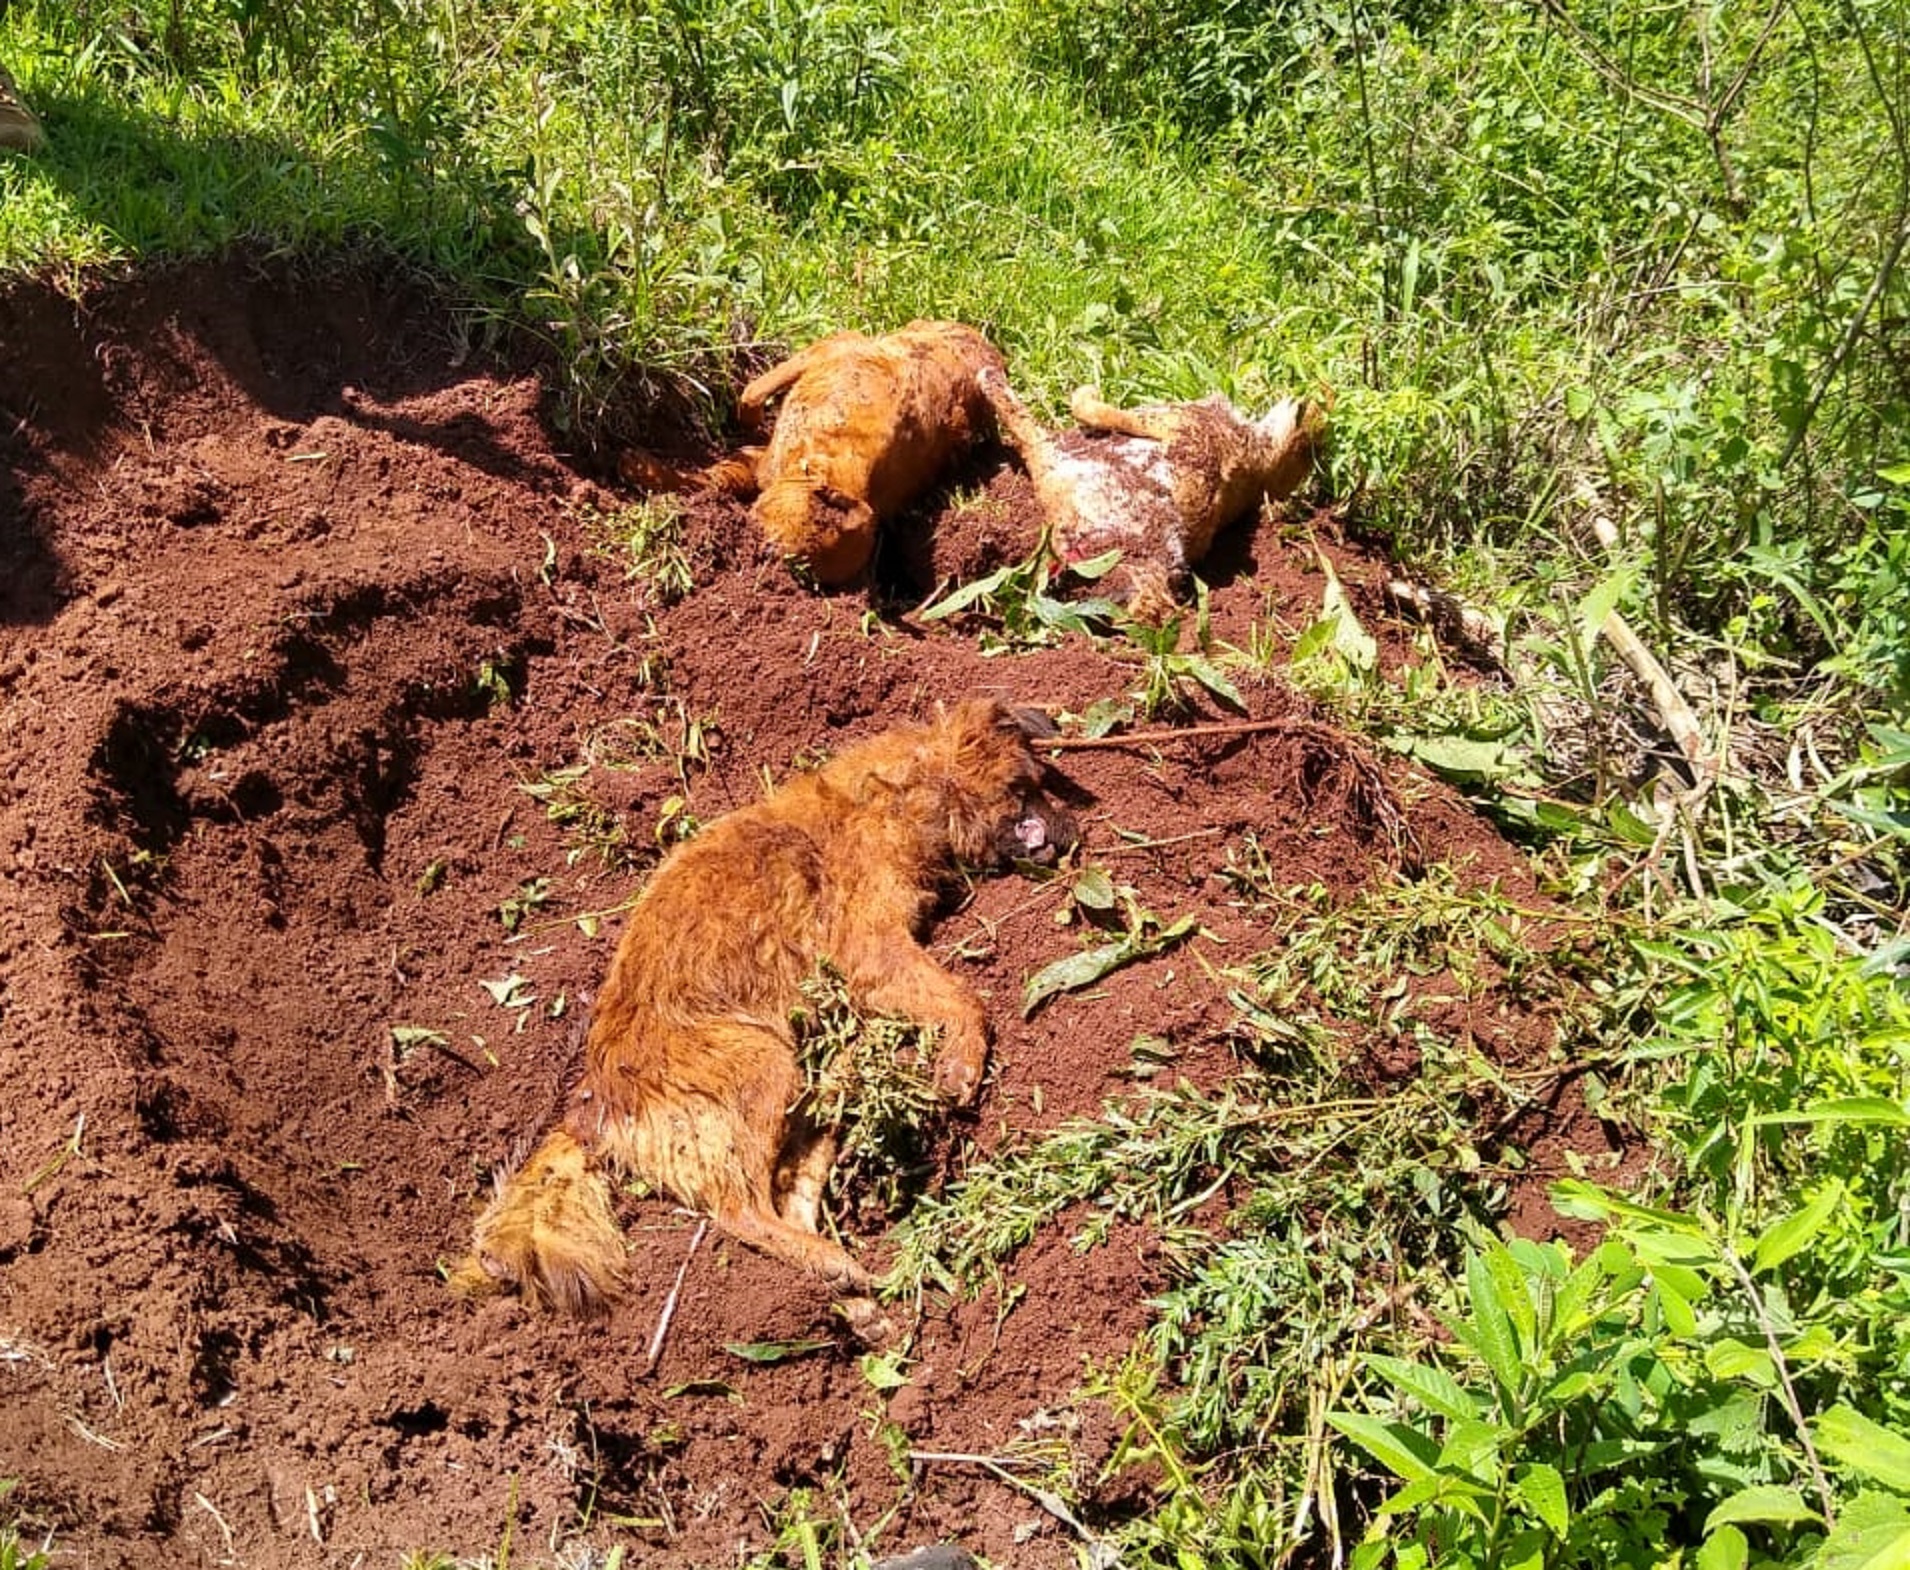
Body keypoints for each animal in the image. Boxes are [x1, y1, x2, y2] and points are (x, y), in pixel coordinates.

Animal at [450, 706, 1077, 1321]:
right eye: (1028, 785)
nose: (1075, 831)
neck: (902, 789)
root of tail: (589, 1107)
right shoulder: (872, 947)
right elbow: (964, 999)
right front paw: (961, 1064)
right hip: (765, 1065)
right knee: (740, 1208)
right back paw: (831, 1267)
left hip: (816, 1097)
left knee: (790, 1193)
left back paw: (848, 1292)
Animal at [622, 322, 1000, 588]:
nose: (763, 562)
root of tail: (992, 350)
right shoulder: (833, 349)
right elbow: (750, 396)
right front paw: (637, 466)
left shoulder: (770, 467)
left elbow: (722, 477)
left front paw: (638, 468)